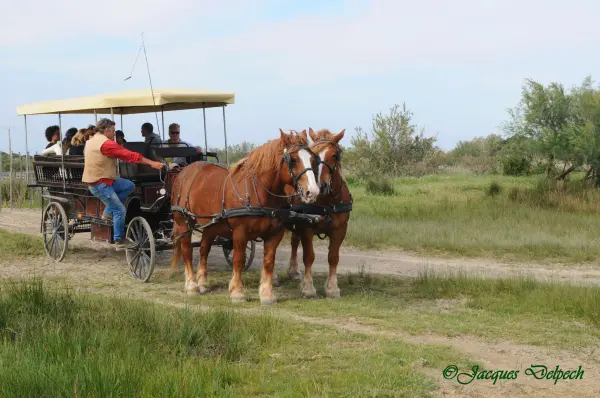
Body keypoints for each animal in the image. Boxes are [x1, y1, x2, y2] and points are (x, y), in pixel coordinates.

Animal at [170, 129, 318, 304]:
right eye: (293, 159)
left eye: (313, 159)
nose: (312, 192)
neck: (258, 192)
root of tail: (184, 171)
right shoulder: (240, 232)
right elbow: (239, 260)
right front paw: (237, 292)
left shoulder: (275, 233)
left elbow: (269, 261)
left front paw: (267, 294)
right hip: (183, 222)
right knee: (187, 250)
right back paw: (192, 285)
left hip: (211, 225)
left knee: (204, 249)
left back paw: (203, 283)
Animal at [284, 127, 352, 298]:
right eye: (314, 156)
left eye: (334, 155)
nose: (320, 186)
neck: (327, 202)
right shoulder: (307, 228)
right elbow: (309, 257)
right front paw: (308, 288)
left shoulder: (340, 229)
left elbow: (333, 257)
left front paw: (332, 288)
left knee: (294, 242)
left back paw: (293, 271)